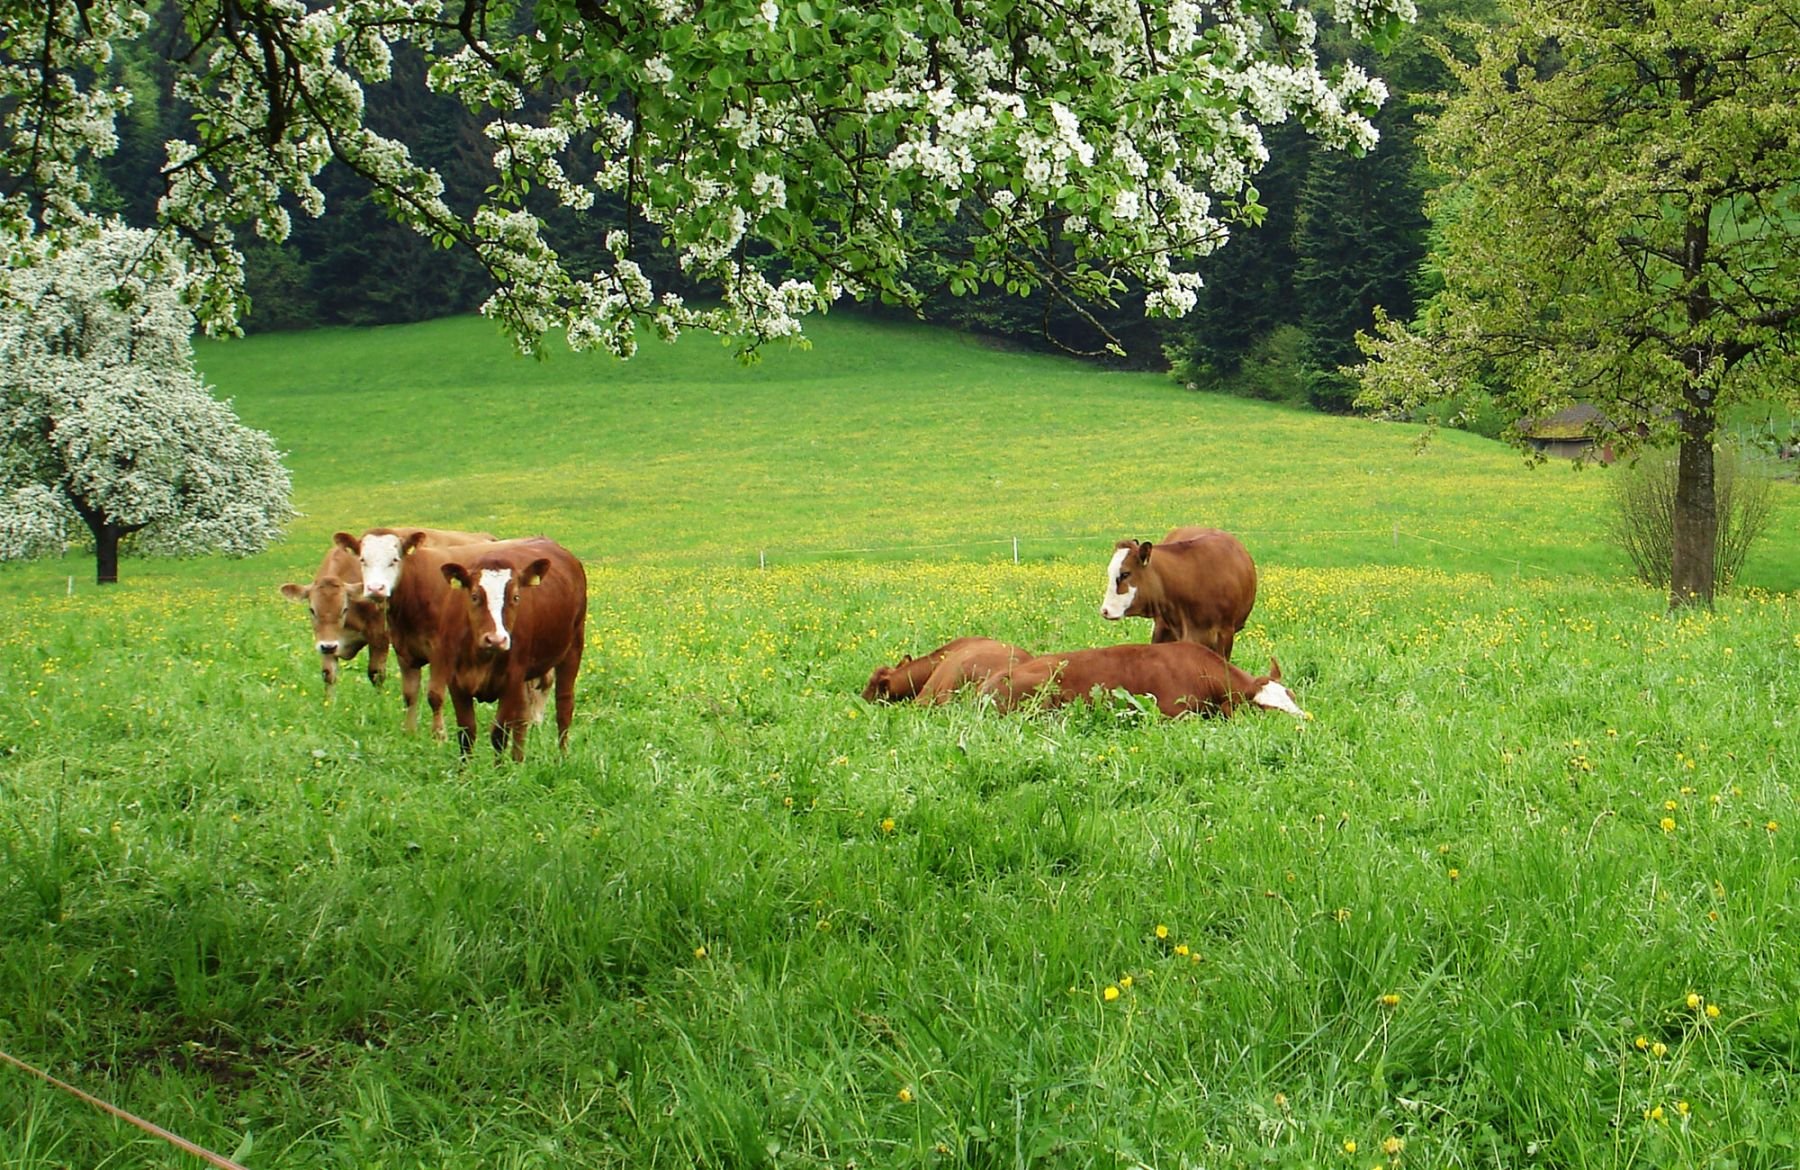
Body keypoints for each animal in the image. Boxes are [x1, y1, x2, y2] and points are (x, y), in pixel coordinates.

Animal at [275, 536, 388, 691]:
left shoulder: (379, 636)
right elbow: (328, 675)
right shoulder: (325, 641)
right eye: (312, 610)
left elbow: (376, 674)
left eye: (345, 609)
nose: (329, 646)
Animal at [432, 536, 586, 756]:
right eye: (474, 596)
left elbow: (499, 733)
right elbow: (466, 734)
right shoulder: (455, 681)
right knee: (523, 717)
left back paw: (562, 757)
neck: (480, 658)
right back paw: (519, 760)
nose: (496, 639)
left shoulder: (511, 680)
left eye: (516, 597)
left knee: (564, 705)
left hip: (573, 646)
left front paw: (501, 767)